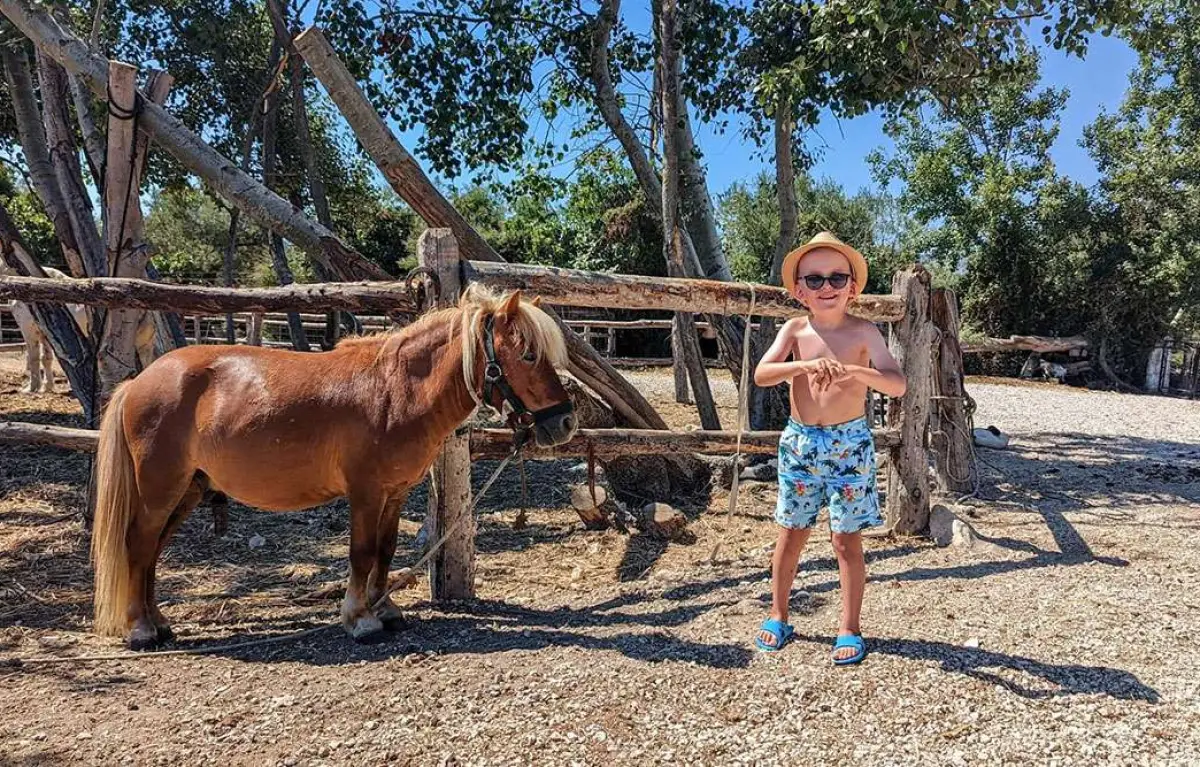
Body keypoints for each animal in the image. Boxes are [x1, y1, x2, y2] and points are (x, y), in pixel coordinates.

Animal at [92, 288, 576, 648]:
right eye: (528, 355)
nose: (566, 423)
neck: (395, 390)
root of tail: (140, 380)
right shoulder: (365, 492)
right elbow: (361, 552)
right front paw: (360, 619)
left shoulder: (395, 493)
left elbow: (385, 550)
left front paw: (386, 610)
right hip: (160, 489)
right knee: (139, 545)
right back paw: (140, 630)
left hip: (189, 489)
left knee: (152, 551)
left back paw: (159, 623)